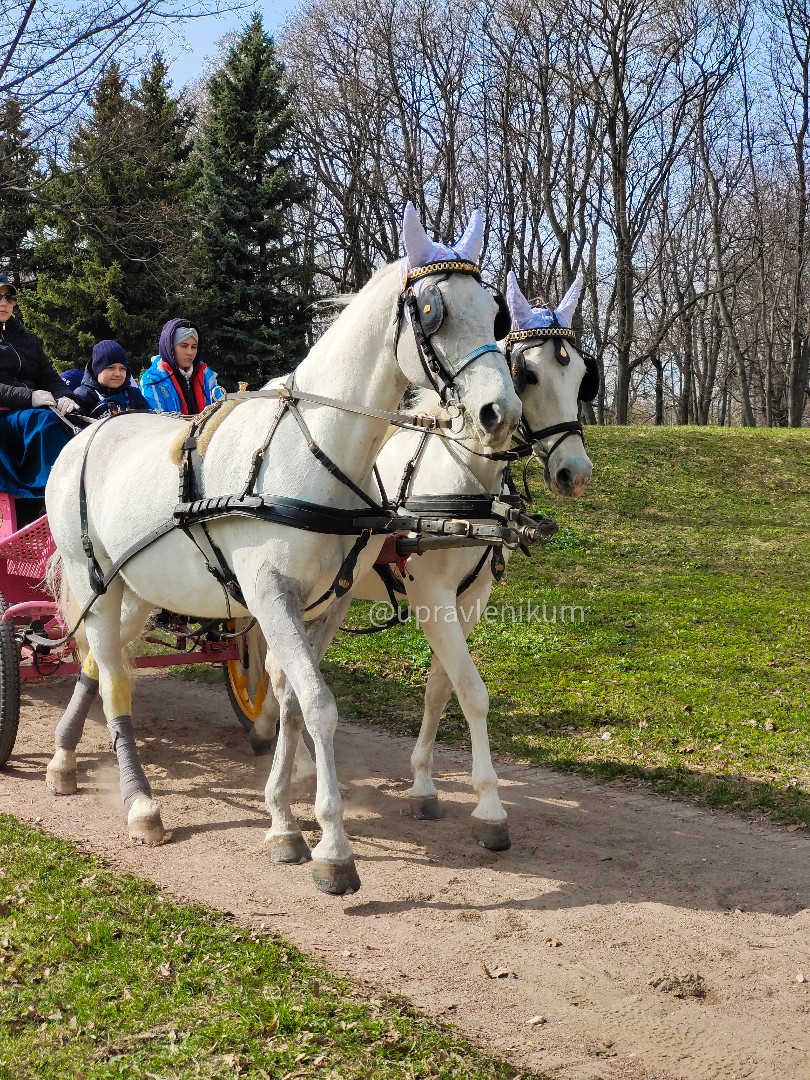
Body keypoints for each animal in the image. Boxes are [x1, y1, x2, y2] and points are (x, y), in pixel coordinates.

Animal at [44, 203, 522, 896]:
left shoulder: (326, 601)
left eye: (494, 313)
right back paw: (140, 802)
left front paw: (285, 822)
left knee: (95, 662)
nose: (498, 412)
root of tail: (91, 429)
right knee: (112, 674)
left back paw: (63, 758)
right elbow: (320, 705)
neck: (312, 447)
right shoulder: (270, 594)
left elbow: (294, 700)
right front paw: (334, 847)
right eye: (434, 312)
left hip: (138, 590)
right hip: (92, 580)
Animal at [248, 270, 595, 852]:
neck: (461, 482)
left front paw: (423, 785)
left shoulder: (469, 601)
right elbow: (473, 692)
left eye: (582, 376)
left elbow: (440, 689)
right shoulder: (432, 595)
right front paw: (490, 807)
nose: (575, 472)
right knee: (276, 671)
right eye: (527, 373)